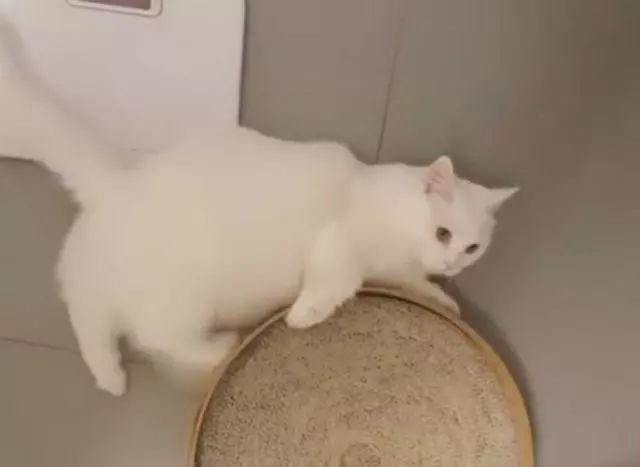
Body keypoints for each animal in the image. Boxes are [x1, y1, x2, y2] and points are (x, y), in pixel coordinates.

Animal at [0, 19, 517, 396]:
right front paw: (302, 317)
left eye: (473, 247)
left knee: (92, 328)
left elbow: (410, 284)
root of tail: (116, 180)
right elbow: (335, 284)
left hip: (98, 290)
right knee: (160, 338)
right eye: (443, 233)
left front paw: (445, 300)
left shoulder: (391, 268)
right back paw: (220, 349)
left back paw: (111, 381)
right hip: (181, 303)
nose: (453, 262)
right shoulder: (340, 243)